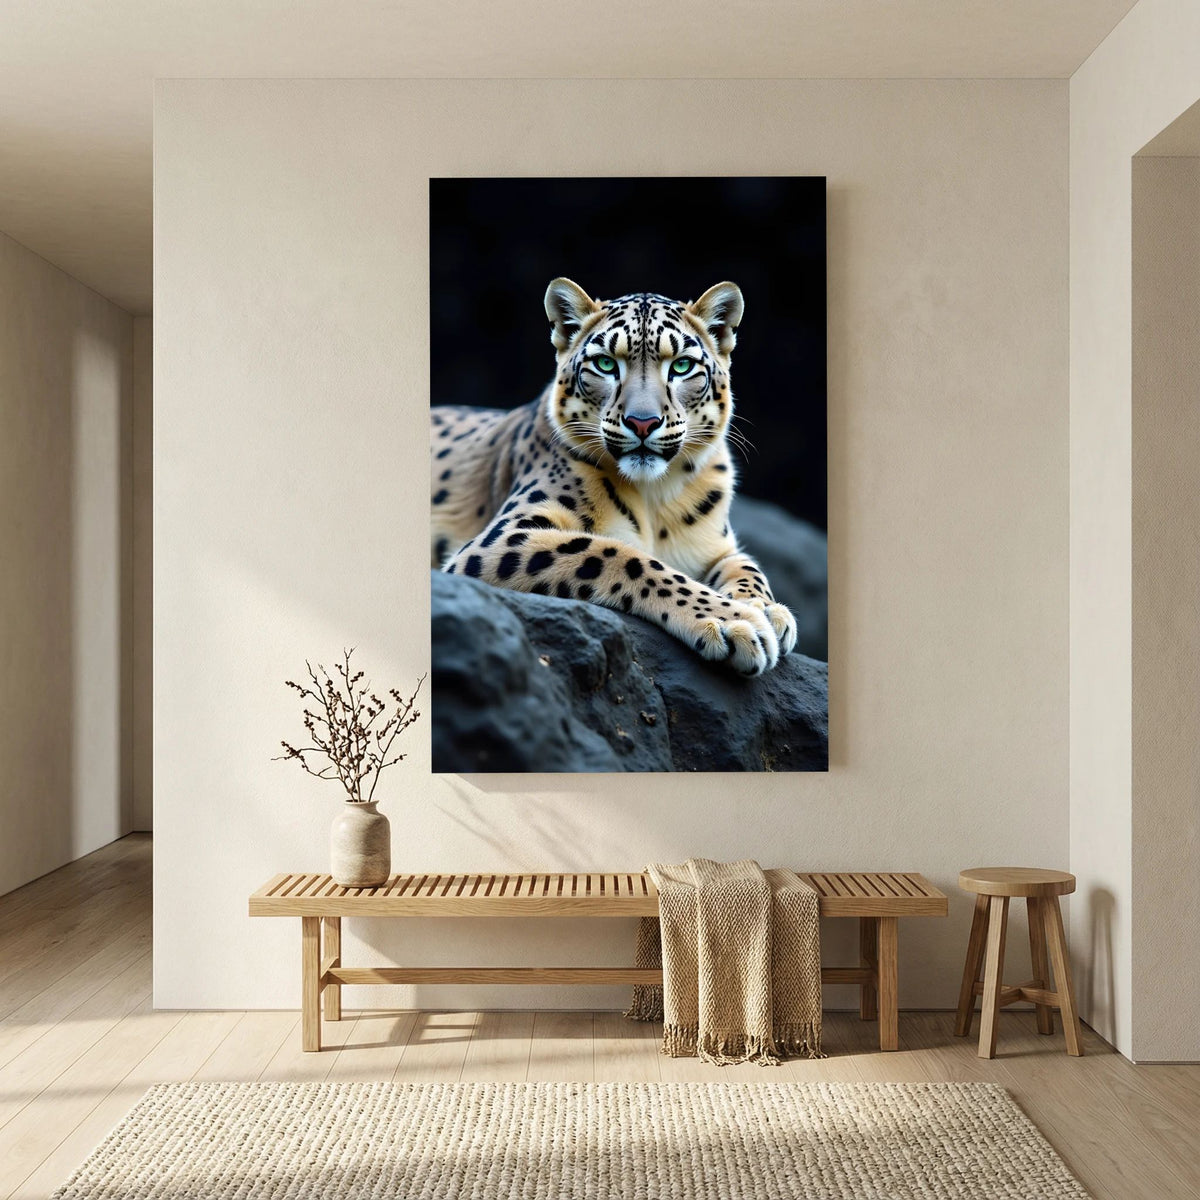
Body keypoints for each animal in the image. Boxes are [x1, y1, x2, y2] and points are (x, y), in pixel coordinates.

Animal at [430, 278, 797, 675]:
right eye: (605, 363)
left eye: (682, 365)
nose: (643, 422)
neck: (656, 497)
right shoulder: (504, 536)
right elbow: (616, 554)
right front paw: (736, 621)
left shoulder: (716, 547)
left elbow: (747, 567)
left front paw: (767, 610)